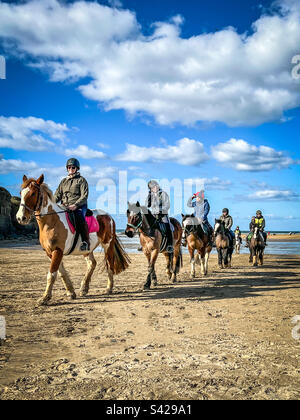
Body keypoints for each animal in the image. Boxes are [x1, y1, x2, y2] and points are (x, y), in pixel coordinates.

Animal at [15, 174, 129, 306]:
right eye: (21, 193)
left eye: (33, 193)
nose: (20, 218)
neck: (51, 221)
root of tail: (108, 216)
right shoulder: (50, 252)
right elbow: (61, 272)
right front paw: (71, 292)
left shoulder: (58, 251)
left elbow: (52, 274)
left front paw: (44, 298)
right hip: (87, 249)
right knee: (92, 264)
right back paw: (84, 289)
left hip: (107, 245)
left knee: (109, 264)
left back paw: (108, 288)